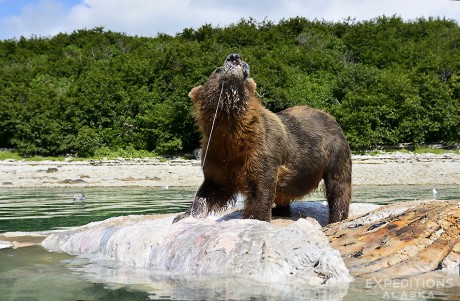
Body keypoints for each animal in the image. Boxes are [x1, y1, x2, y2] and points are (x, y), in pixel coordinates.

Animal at [172, 53, 352, 223]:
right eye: (217, 70)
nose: (234, 57)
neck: (231, 127)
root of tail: (329, 116)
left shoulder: (261, 148)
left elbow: (261, 186)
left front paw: (255, 217)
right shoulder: (217, 153)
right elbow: (212, 188)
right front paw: (184, 215)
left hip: (334, 151)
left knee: (338, 187)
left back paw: (337, 216)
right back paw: (282, 211)